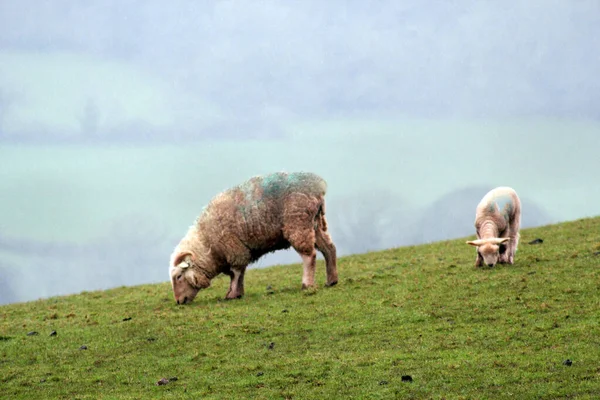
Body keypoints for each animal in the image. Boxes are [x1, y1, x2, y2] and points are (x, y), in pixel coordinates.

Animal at [169, 172, 338, 304]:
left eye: (178, 276)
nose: (178, 302)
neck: (207, 244)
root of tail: (318, 188)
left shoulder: (234, 249)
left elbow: (236, 273)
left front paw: (232, 294)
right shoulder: (241, 250)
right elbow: (240, 272)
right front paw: (238, 292)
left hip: (298, 224)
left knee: (310, 255)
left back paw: (307, 284)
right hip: (316, 224)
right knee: (329, 249)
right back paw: (331, 280)